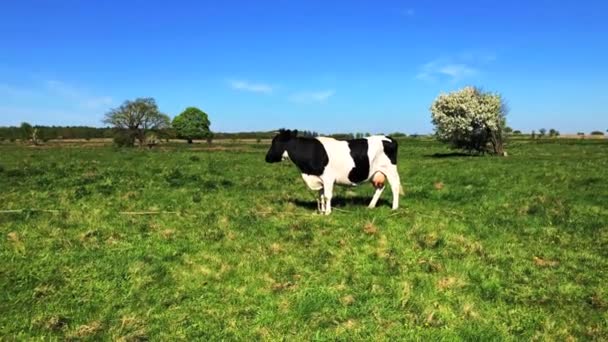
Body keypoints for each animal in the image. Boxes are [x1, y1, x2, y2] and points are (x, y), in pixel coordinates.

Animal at [266, 130, 404, 215]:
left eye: (275, 142)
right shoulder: (319, 179)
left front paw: (327, 212)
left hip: (390, 170)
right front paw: (321, 212)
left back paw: (394, 208)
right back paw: (371, 206)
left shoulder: (328, 178)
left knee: (394, 187)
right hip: (375, 173)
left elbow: (327, 196)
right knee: (380, 187)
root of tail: (388, 138)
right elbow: (321, 196)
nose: (266, 158)